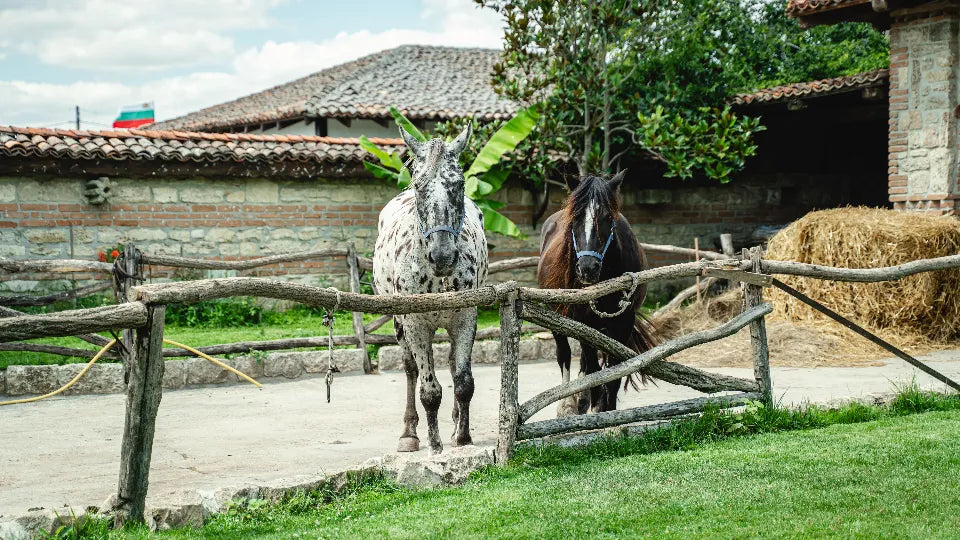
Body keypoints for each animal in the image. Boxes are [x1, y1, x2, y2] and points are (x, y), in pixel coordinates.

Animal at [373, 124, 488, 454]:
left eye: (458, 184)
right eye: (419, 185)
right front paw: (434, 445)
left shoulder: (465, 318)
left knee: (450, 364)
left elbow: (463, 382)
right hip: (399, 325)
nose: (443, 256)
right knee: (410, 369)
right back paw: (409, 433)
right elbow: (429, 389)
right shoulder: (415, 324)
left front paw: (462, 438)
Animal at [537, 171, 657, 415]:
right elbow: (593, 370)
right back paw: (567, 404)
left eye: (607, 218)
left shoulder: (623, 324)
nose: (587, 268)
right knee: (564, 356)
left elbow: (613, 374)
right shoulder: (584, 324)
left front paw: (607, 410)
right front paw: (595, 410)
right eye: (575, 219)